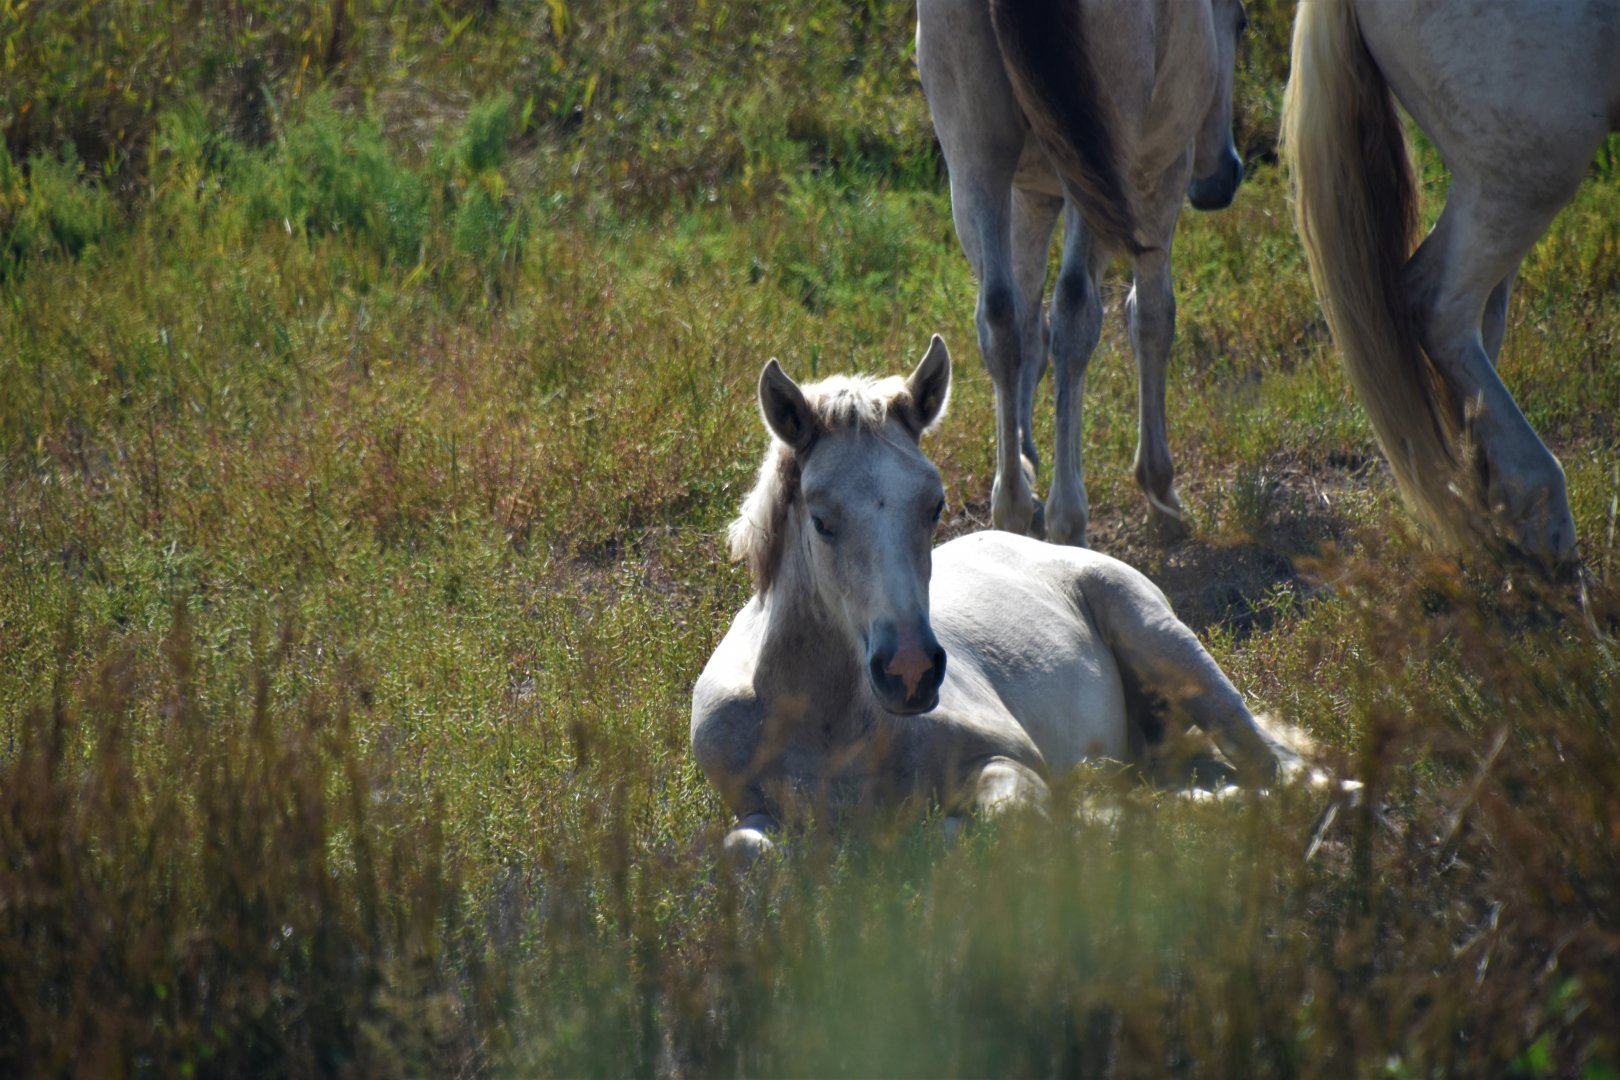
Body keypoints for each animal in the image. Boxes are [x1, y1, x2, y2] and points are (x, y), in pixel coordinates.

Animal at [690, 336, 1302, 860]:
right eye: (821, 520)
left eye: (934, 505)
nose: (910, 671)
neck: (828, 725)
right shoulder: (751, 809)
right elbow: (746, 850)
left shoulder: (1010, 759)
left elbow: (978, 827)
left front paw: (1090, 812)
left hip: (1167, 645)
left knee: (1275, 765)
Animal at [915, 0, 1250, 546]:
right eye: (1240, 24)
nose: (1222, 177)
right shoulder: (1159, 176)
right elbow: (1151, 317)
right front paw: (1161, 492)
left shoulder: (1031, 194)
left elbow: (1027, 327)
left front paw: (1025, 464)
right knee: (1075, 312)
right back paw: (1068, 519)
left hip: (975, 156)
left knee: (1000, 317)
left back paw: (1012, 509)